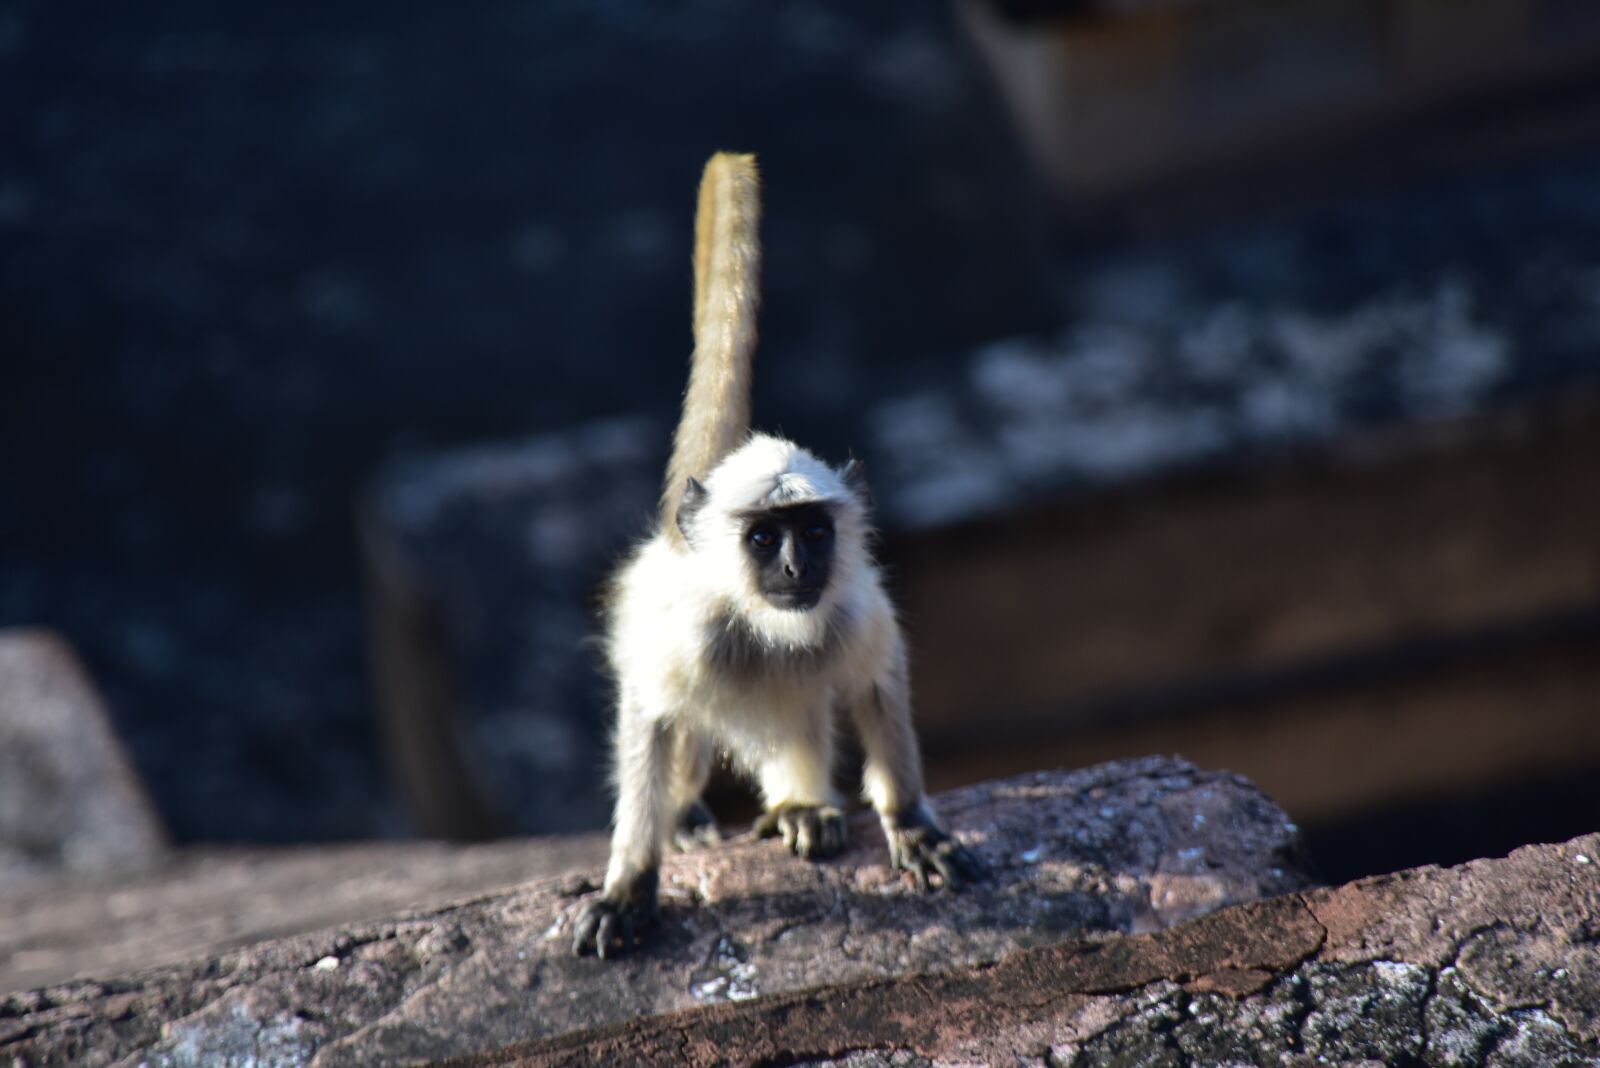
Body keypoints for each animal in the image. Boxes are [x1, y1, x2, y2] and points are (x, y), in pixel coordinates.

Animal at [572, 152, 985, 959]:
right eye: (765, 537)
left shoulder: (853, 610)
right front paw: (630, 881)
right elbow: (649, 722)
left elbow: (878, 682)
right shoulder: (684, 637)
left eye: (813, 532)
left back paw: (799, 805)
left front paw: (909, 819)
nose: (796, 568)